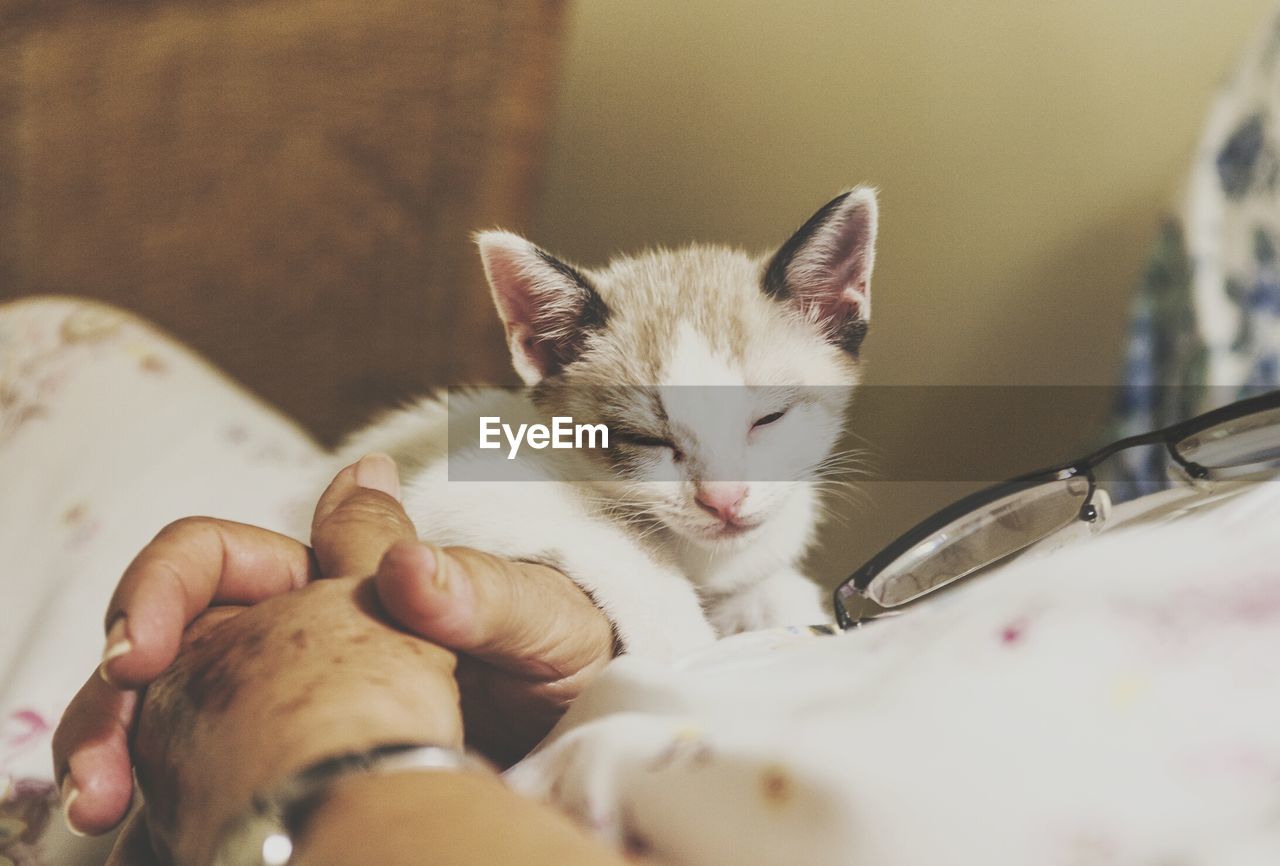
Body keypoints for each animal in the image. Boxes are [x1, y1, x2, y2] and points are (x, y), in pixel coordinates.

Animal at [337, 188, 880, 654]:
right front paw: (684, 658)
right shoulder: (457, 486)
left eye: (769, 419)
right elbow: (617, 539)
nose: (723, 501)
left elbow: (774, 585)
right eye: (644, 438)